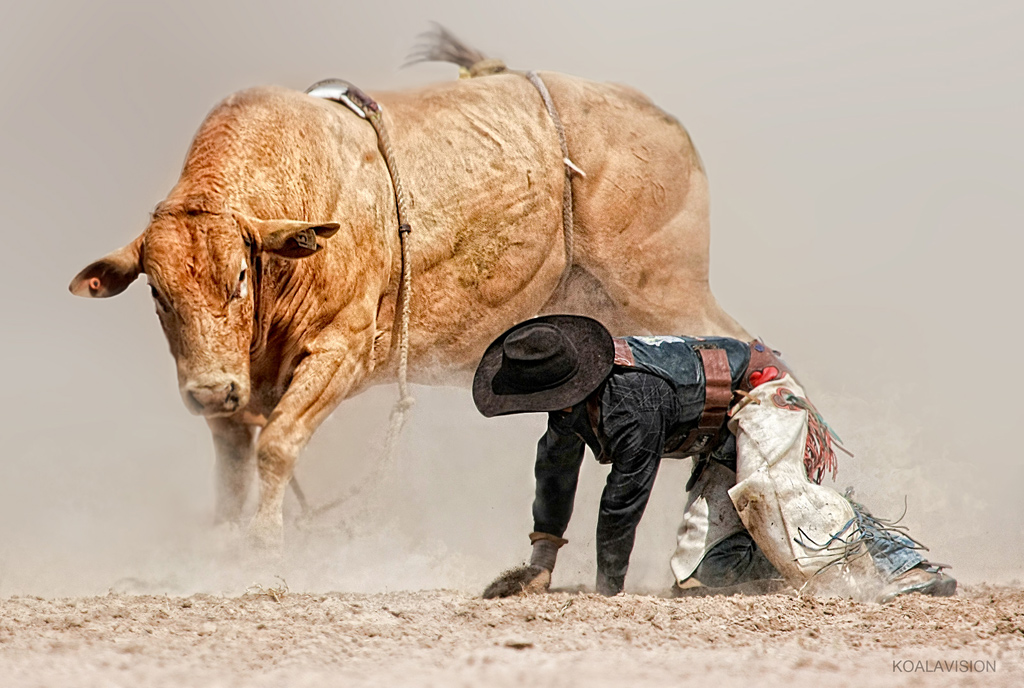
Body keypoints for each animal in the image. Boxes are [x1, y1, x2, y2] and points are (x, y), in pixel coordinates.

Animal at [68, 30, 749, 548]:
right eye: (156, 293)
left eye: (239, 277)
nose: (210, 390)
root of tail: (662, 122)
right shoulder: (236, 385)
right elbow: (233, 467)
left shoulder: (341, 348)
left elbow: (278, 444)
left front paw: (264, 543)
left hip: (666, 288)